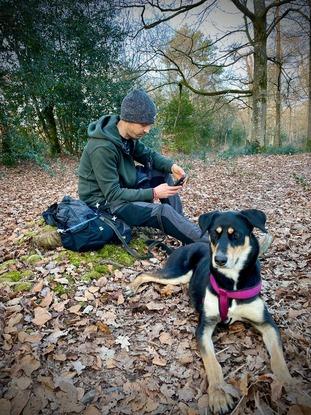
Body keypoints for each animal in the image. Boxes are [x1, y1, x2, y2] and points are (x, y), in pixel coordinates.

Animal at [128, 211, 294, 415]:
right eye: (215, 234)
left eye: (236, 235)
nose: (219, 260)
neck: (231, 284)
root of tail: (185, 245)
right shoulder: (204, 327)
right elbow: (213, 364)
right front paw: (218, 394)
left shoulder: (267, 323)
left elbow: (278, 357)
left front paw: (289, 384)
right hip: (177, 274)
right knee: (145, 274)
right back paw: (131, 287)